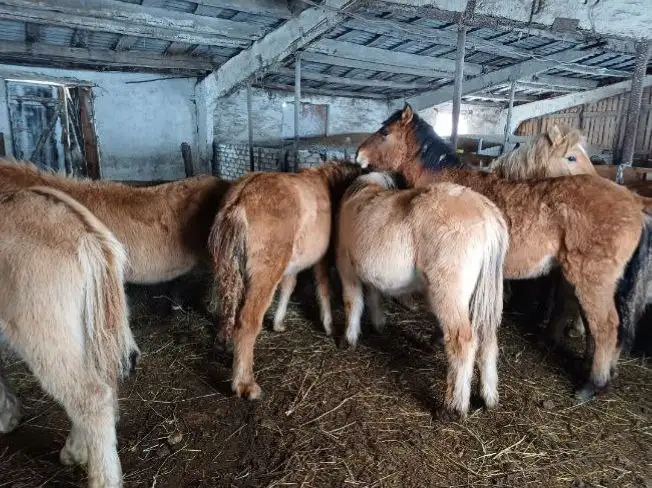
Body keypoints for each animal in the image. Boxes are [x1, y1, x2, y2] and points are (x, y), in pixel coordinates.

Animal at [0, 186, 138, 487]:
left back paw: (100, 477)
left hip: (45, 335)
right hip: (91, 331)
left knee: (90, 397)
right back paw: (75, 450)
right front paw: (8, 415)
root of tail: (85, 235)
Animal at [209, 162, 364, 399]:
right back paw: (245, 384)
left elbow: (288, 287)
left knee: (227, 308)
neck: (327, 183)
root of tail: (241, 199)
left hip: (229, 270)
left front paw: (278, 323)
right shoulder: (320, 259)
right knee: (247, 321)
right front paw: (329, 326)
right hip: (264, 275)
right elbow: (323, 288)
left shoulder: (293, 263)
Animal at [336, 172, 508, 418]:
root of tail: (488, 215)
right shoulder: (368, 272)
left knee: (462, 342)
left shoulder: (347, 266)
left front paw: (347, 339)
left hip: (450, 290)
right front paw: (378, 326)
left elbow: (353, 302)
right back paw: (489, 397)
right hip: (485, 294)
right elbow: (373, 296)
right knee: (487, 338)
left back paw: (452, 407)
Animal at [355, 104, 652, 400]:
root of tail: (633, 201)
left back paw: (592, 385)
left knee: (605, 328)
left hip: (591, 281)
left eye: (385, 132)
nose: (358, 154)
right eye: (571, 156)